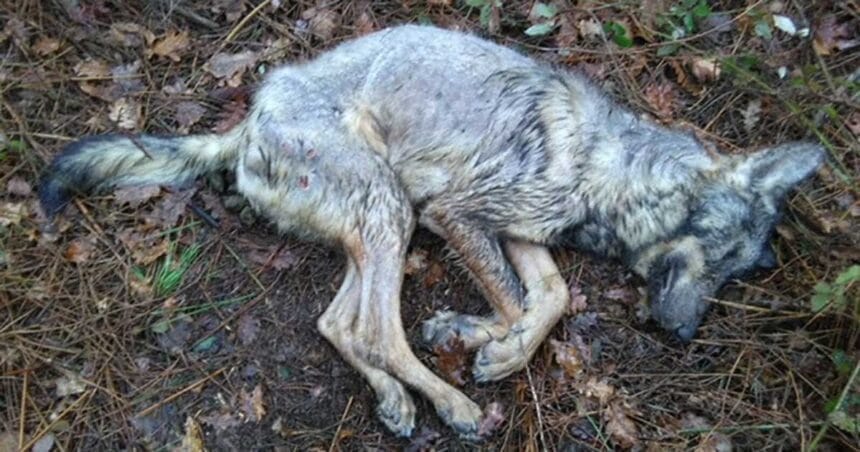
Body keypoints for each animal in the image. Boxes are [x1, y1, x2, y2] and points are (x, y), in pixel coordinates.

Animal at [40, 25, 824, 438]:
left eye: (737, 275)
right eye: (715, 258)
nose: (686, 338)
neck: (607, 166)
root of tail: (252, 116)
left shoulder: (520, 233)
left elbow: (550, 298)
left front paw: (476, 335)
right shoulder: (459, 215)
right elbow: (521, 300)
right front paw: (493, 345)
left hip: (375, 227)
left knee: (341, 325)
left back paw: (396, 398)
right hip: (395, 211)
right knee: (377, 333)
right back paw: (451, 403)